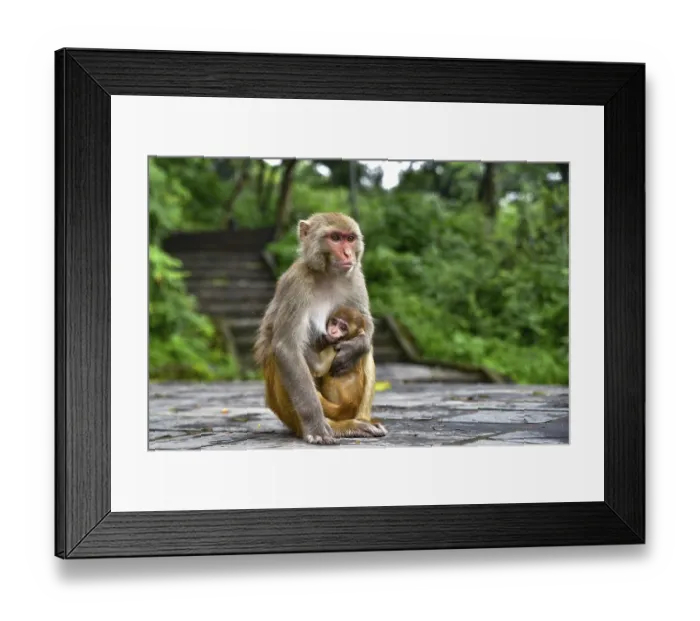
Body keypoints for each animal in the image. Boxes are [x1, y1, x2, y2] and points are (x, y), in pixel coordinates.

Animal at [253, 212, 386, 445]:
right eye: (335, 238)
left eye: (350, 238)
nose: (347, 253)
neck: (327, 275)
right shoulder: (296, 284)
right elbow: (287, 347)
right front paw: (316, 426)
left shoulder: (356, 277)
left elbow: (365, 323)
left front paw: (355, 347)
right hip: (286, 411)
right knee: (282, 358)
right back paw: (339, 426)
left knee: (366, 354)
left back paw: (361, 421)